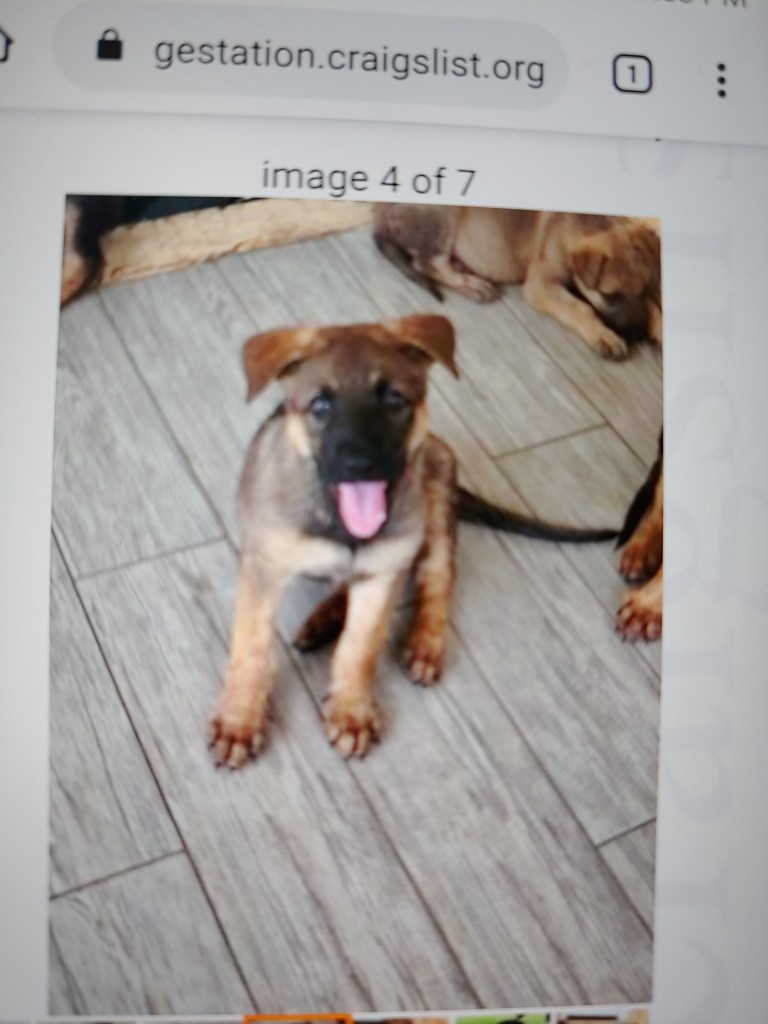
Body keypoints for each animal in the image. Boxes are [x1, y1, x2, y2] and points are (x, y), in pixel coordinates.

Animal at [208, 314, 619, 767]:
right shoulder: (264, 568)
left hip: (435, 501)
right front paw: (239, 720)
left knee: (437, 577)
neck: (341, 524)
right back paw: (322, 620)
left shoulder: (383, 571)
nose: (360, 465)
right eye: (321, 405)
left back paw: (423, 642)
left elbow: (359, 646)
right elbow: (252, 647)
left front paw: (351, 710)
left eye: (393, 399)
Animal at [373, 205, 662, 360]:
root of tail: (379, 216)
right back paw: (471, 284)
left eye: (646, 289)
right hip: (443, 219)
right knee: (426, 263)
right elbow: (580, 307)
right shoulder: (540, 286)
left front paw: (658, 326)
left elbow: (654, 308)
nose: (638, 335)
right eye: (610, 296)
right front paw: (603, 335)